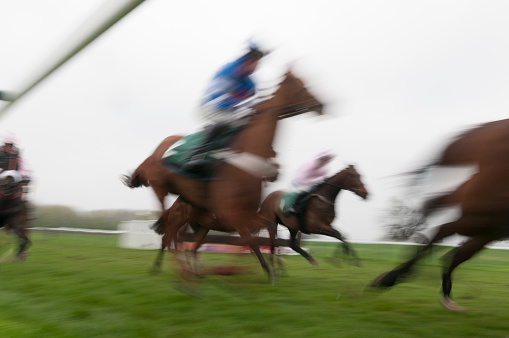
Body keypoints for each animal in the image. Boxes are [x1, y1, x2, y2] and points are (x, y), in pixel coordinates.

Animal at [123, 71, 322, 278]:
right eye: (300, 86)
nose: (319, 105)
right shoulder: (236, 219)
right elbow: (251, 241)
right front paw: (268, 270)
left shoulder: (247, 218)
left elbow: (262, 235)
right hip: (166, 195)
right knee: (170, 235)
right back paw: (171, 268)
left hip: (199, 224)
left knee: (187, 243)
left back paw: (192, 271)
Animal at [370, 117, 509, 312]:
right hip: (481, 218)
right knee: (443, 236)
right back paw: (390, 279)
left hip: (489, 227)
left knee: (455, 252)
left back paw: (446, 295)